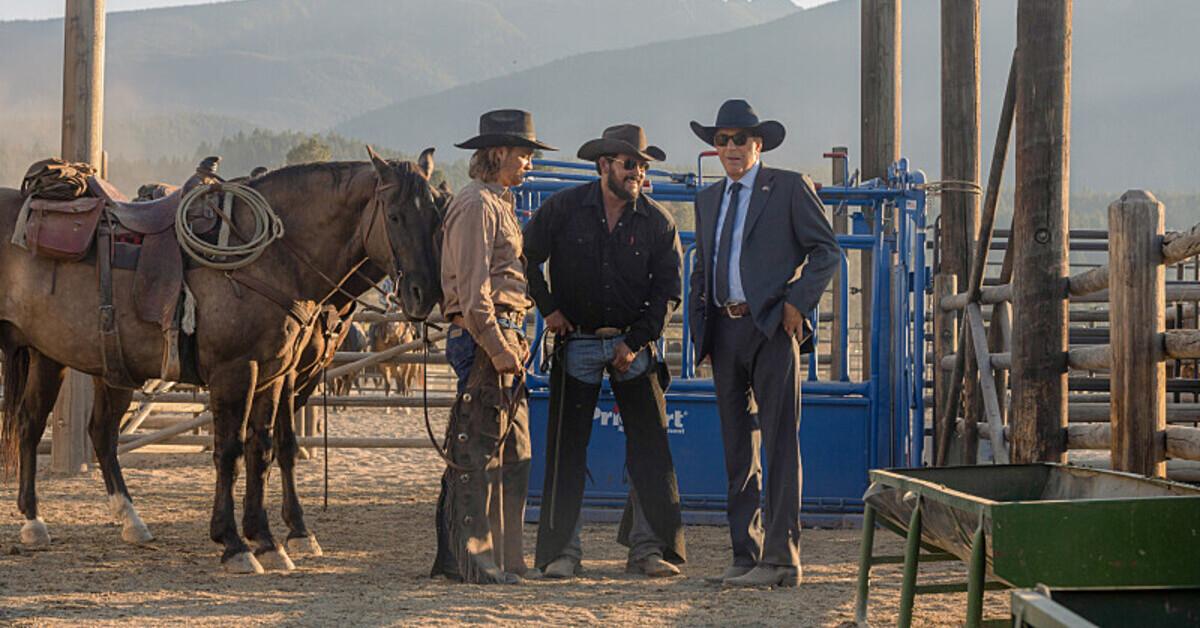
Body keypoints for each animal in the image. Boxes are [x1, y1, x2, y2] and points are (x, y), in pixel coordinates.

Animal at [0, 150, 444, 571]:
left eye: (437, 214)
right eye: (395, 215)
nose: (425, 293)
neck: (271, 259)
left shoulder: (274, 375)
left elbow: (263, 448)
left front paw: (267, 540)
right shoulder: (236, 372)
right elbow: (231, 451)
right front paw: (234, 543)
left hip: (62, 358)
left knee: (67, 429)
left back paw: (108, 521)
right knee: (42, 427)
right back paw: (40, 522)